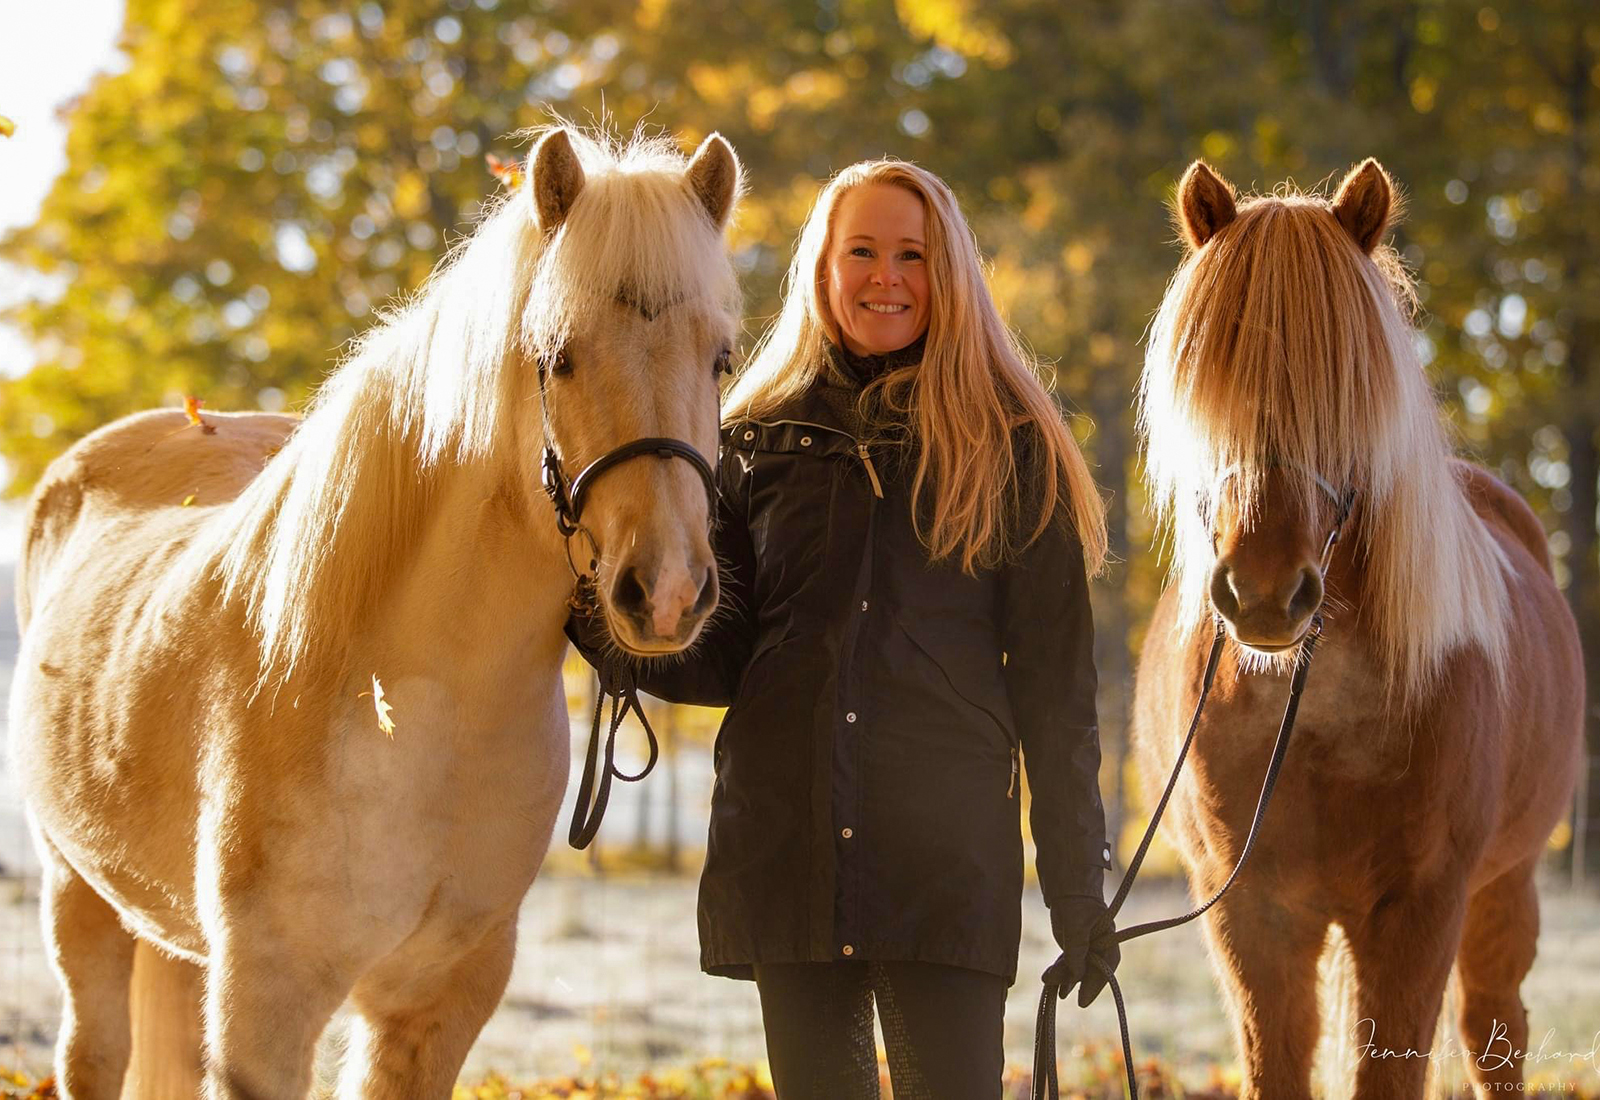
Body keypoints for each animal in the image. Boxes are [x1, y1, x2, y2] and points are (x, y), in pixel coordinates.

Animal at [7, 124, 742, 1093]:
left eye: (719, 358)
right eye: (560, 356)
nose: (666, 591)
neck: (417, 707)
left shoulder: (437, 1005)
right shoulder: (266, 1006)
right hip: (75, 895)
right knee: (93, 1051)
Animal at [1132, 156, 1580, 1100]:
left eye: (1346, 389)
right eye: (1212, 386)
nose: (1265, 595)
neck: (1317, 717)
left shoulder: (1420, 911)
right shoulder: (1251, 916)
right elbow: (1278, 1063)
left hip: (1506, 893)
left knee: (1495, 1034)